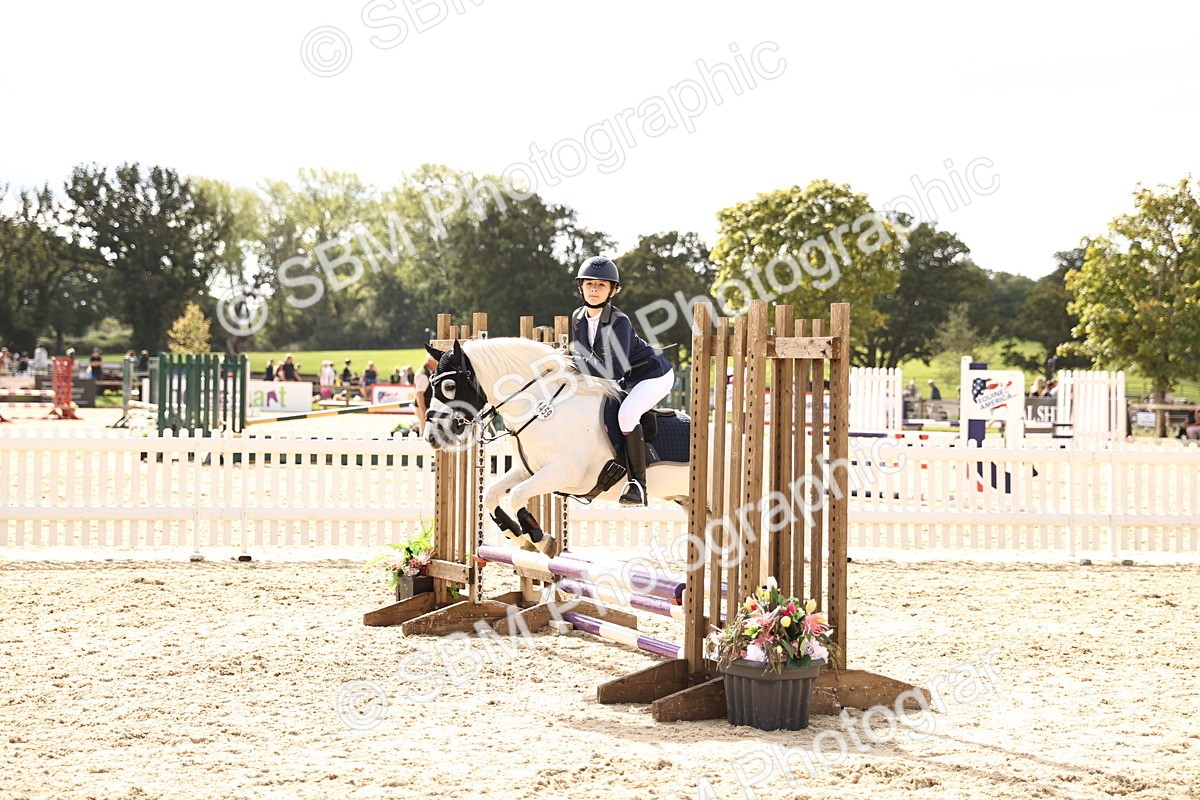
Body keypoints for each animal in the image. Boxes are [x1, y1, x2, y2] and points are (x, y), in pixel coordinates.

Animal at [422, 337, 691, 556]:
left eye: (449, 387)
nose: (433, 437)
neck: (541, 407)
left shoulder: (565, 473)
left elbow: (517, 495)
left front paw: (541, 540)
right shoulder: (529, 469)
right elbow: (490, 495)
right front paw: (519, 537)